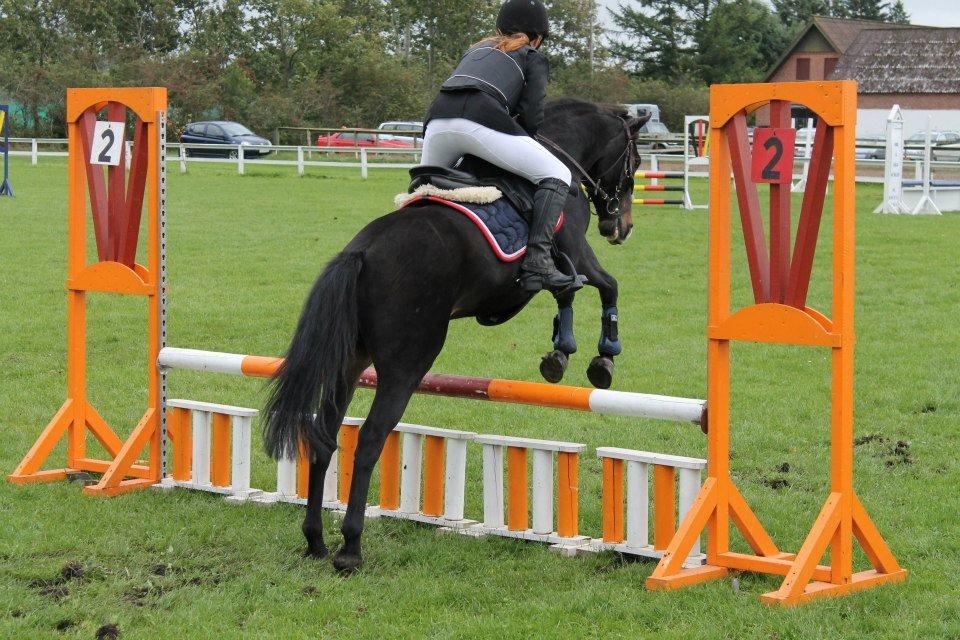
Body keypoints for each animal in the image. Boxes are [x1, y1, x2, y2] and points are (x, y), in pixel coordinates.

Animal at [266, 97, 648, 572]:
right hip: (408, 363)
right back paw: (350, 548)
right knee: (370, 439)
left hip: (351, 361)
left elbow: (567, 294)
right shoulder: (577, 254)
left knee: (326, 434)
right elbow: (607, 285)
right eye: (634, 161)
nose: (620, 228)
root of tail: (361, 252)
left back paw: (316, 539)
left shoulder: (563, 269)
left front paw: (560, 354)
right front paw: (603, 357)